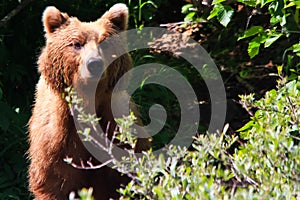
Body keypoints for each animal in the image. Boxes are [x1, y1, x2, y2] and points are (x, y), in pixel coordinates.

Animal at [27, 3, 149, 200]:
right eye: (77, 43)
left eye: (105, 42)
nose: (94, 63)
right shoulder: (56, 143)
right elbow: (54, 182)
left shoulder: (115, 126)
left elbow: (121, 179)